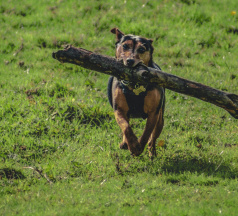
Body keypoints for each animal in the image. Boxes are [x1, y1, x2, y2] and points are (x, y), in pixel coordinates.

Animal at [107, 28, 165, 157]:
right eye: (124, 46)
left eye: (142, 49)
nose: (130, 61)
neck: (134, 86)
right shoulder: (119, 110)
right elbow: (126, 127)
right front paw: (132, 145)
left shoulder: (153, 113)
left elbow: (147, 133)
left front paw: (138, 147)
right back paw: (125, 143)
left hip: (160, 119)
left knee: (153, 137)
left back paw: (152, 152)